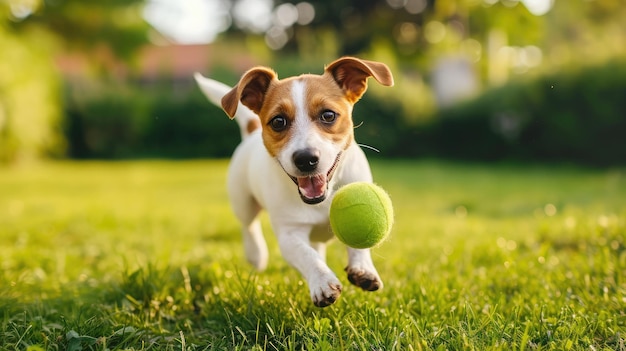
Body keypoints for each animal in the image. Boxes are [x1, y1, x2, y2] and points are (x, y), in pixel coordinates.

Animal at [193, 56, 392, 306]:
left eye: (328, 115)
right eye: (278, 121)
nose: (306, 159)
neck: (322, 199)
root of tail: (250, 132)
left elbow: (358, 246)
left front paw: (364, 268)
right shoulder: (289, 234)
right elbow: (306, 255)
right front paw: (322, 281)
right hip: (243, 201)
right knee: (249, 225)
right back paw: (256, 254)